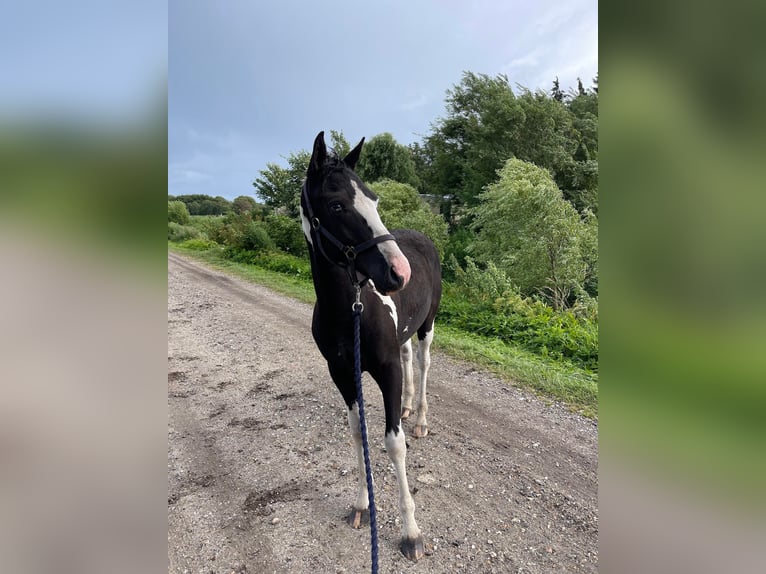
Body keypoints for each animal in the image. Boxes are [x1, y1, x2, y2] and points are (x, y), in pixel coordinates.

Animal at [302, 130, 444, 564]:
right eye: (336, 205)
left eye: (374, 200)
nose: (399, 273)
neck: (351, 311)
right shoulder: (343, 373)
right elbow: (359, 435)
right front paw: (363, 505)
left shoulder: (386, 371)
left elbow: (394, 444)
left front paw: (411, 532)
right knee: (408, 357)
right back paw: (408, 406)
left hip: (427, 326)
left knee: (423, 362)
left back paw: (420, 418)